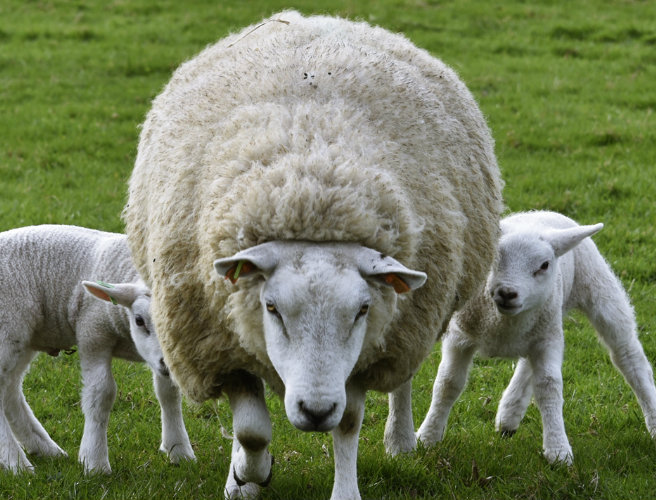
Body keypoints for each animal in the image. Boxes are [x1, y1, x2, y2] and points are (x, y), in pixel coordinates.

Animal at [0, 225, 195, 474]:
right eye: (139, 320)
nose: (167, 365)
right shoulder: (92, 332)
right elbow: (101, 394)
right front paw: (94, 461)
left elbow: (168, 393)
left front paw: (179, 450)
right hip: (9, 327)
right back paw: (16, 462)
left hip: (24, 338)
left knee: (10, 389)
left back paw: (45, 449)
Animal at [122, 10, 504, 499]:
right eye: (271, 307)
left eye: (361, 310)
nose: (315, 410)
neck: (309, 188)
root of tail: (316, 18)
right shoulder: (220, 346)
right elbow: (251, 430)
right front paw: (247, 475)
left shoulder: (365, 352)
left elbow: (349, 423)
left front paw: (343, 489)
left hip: (407, 325)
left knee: (402, 382)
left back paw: (400, 440)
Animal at [416, 210, 656, 465]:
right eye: (494, 258)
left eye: (544, 265)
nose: (507, 293)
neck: (502, 325)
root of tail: (543, 212)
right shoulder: (459, 336)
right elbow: (448, 383)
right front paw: (427, 436)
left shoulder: (547, 340)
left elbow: (549, 386)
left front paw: (558, 450)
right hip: (544, 324)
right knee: (526, 366)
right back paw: (509, 415)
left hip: (597, 290)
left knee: (629, 357)